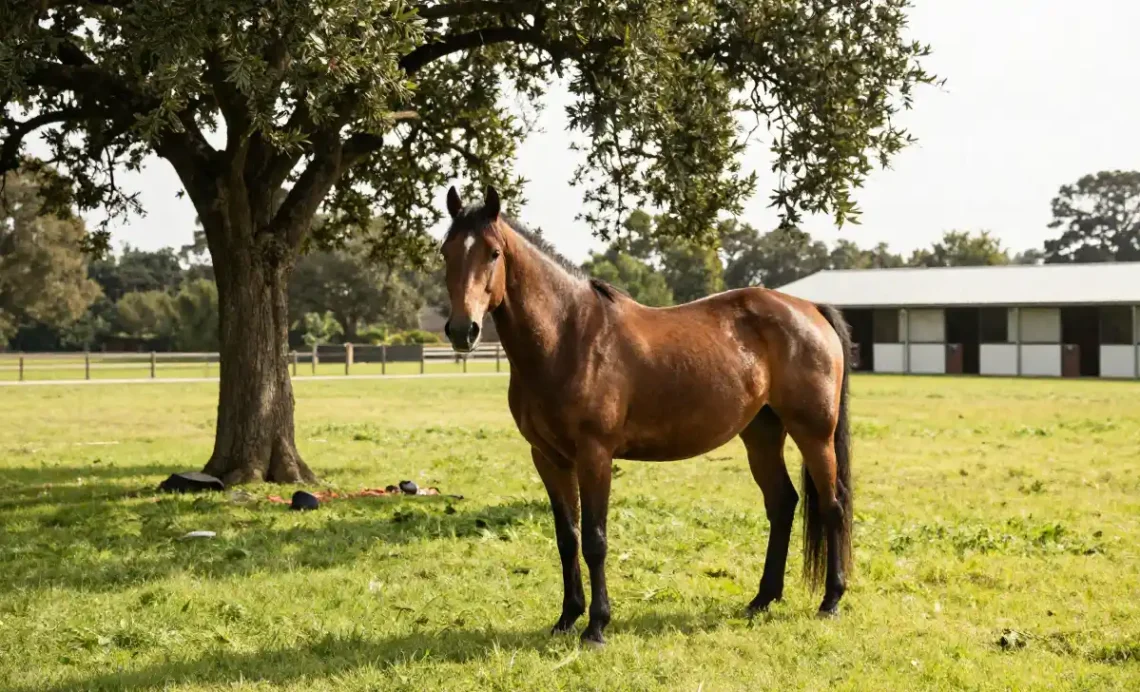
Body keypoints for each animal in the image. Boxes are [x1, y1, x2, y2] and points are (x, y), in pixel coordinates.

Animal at [439, 185, 854, 646]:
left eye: (493, 253)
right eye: (445, 251)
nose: (463, 330)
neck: (569, 337)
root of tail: (810, 309)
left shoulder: (595, 455)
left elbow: (595, 540)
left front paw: (596, 626)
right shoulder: (548, 458)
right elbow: (567, 538)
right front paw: (566, 618)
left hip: (813, 433)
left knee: (833, 506)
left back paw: (830, 601)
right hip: (761, 435)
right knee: (782, 505)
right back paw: (762, 599)